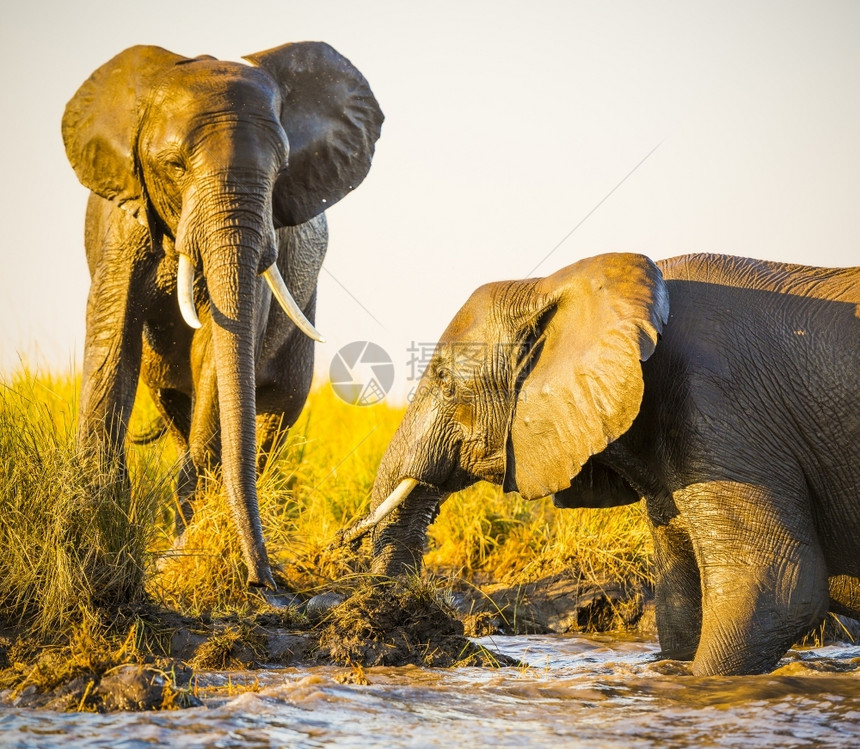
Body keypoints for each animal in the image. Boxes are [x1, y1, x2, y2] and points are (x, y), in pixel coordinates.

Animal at [62, 42, 382, 592]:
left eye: (282, 169)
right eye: (173, 165)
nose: (265, 584)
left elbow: (218, 348)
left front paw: (178, 558)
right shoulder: (119, 224)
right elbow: (112, 339)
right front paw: (97, 534)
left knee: (275, 410)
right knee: (175, 404)